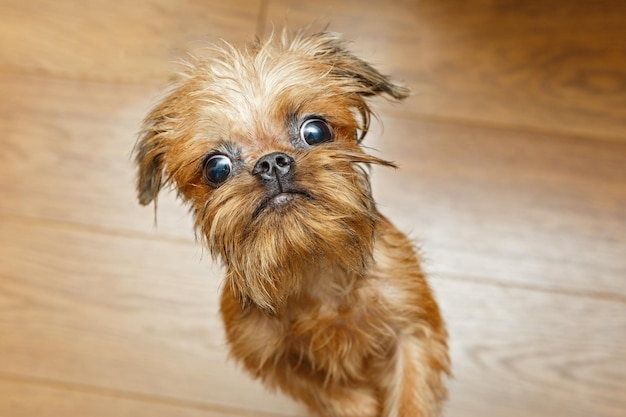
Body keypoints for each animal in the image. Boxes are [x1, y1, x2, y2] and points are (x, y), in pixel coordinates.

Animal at [134, 30, 448, 416]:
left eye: (315, 131)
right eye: (216, 168)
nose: (271, 162)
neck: (311, 267)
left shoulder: (413, 330)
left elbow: (409, 400)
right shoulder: (268, 359)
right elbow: (322, 389)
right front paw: (356, 405)